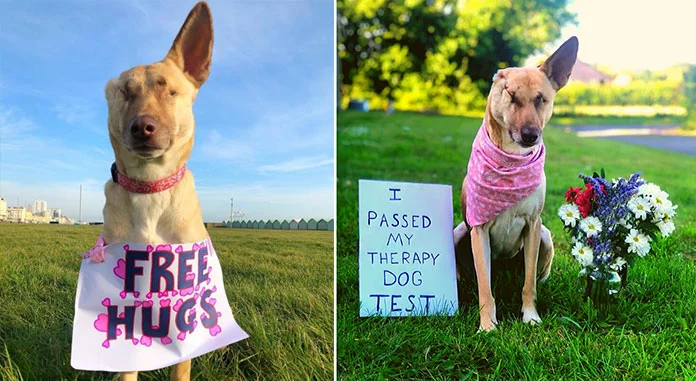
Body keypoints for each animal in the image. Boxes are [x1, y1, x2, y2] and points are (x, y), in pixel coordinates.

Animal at [454, 37, 580, 332]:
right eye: (511, 95)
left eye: (541, 99)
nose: (531, 135)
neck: (510, 161)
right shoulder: (478, 230)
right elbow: (485, 287)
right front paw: (487, 325)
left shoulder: (533, 225)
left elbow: (529, 283)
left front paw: (530, 316)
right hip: (458, 233)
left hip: (545, 237)